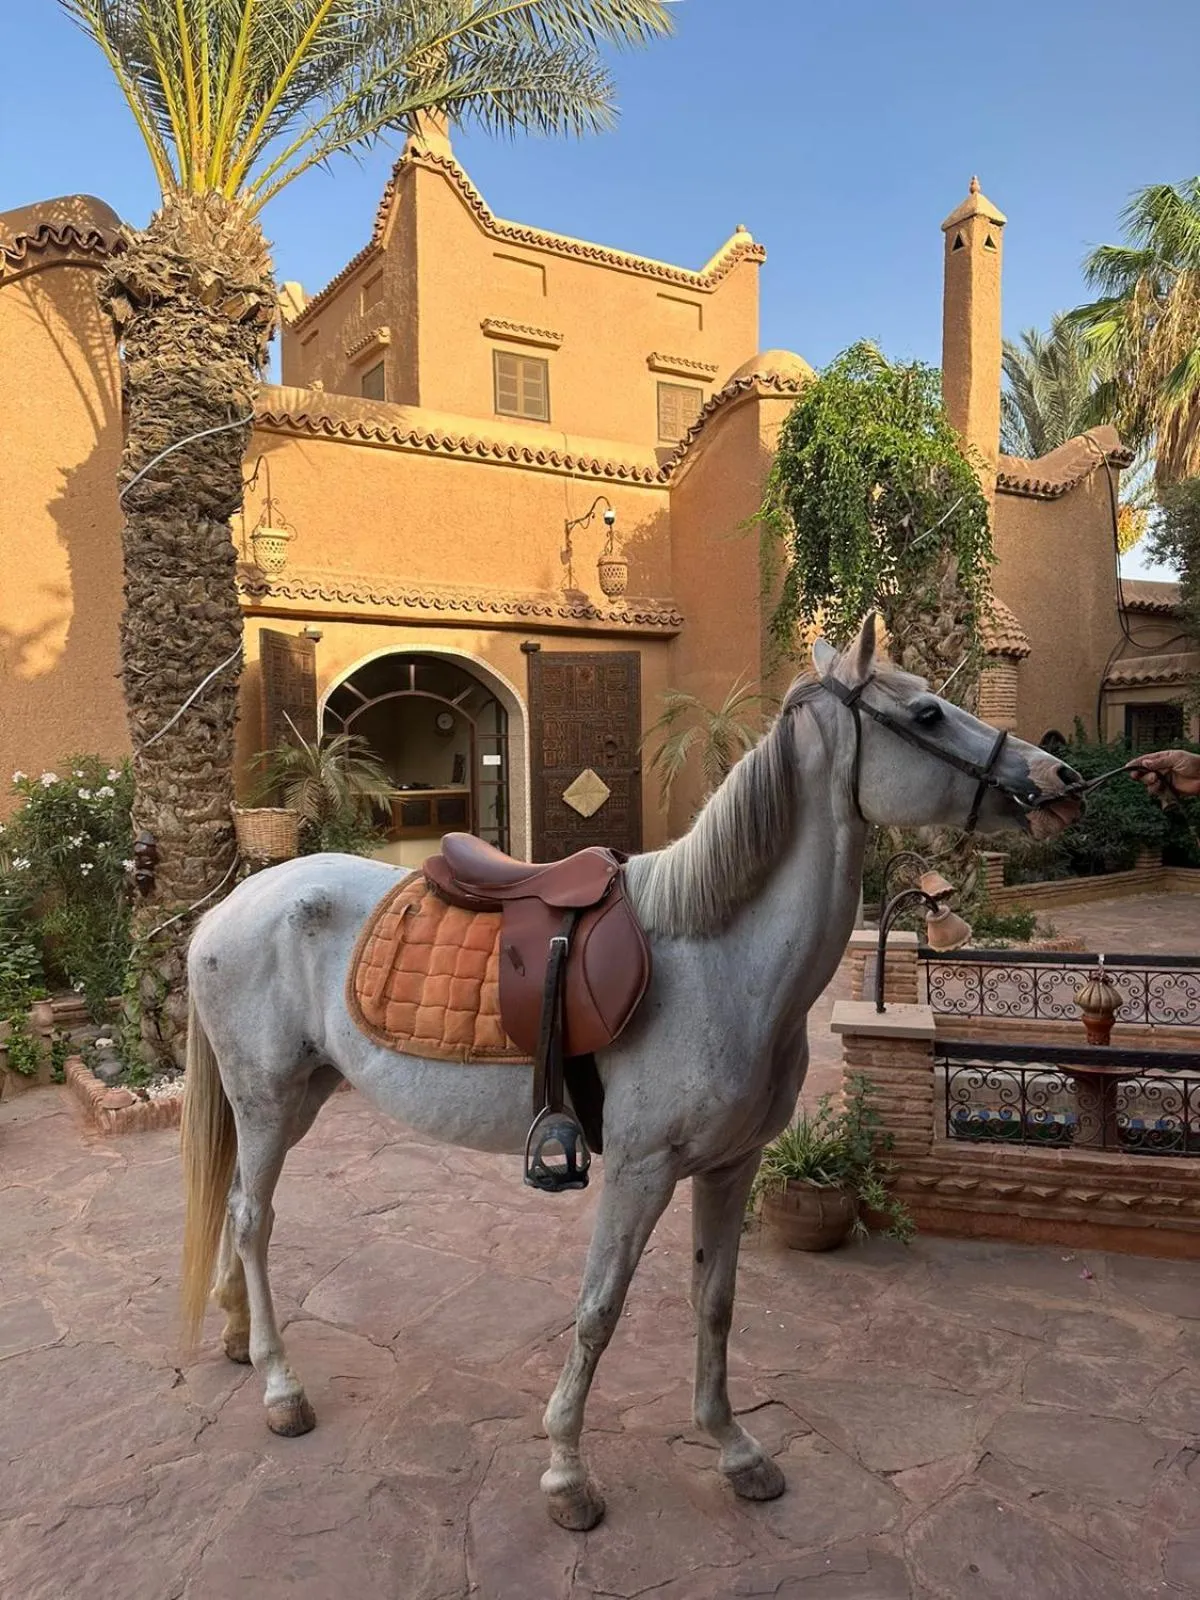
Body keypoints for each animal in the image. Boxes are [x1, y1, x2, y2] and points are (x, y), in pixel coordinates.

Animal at [179, 616, 1081, 1531]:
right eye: (927, 713)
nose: (1061, 779)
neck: (722, 957)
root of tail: (230, 907)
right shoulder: (642, 1171)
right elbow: (598, 1310)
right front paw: (567, 1472)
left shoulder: (732, 1166)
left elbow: (715, 1302)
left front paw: (733, 1448)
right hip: (265, 1100)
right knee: (253, 1220)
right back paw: (281, 1387)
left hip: (300, 1097)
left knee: (238, 1204)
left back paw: (236, 1337)